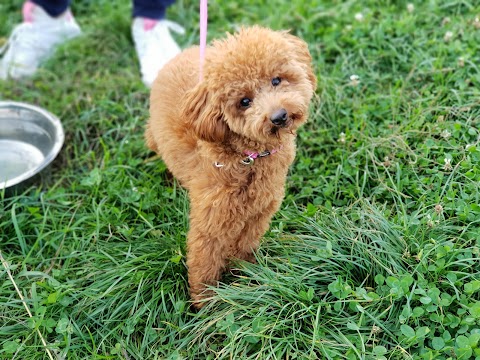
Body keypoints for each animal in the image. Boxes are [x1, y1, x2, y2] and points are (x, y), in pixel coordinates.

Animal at [148, 26, 316, 306]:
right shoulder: (210, 221)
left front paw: (244, 274)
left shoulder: (259, 213)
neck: (249, 157)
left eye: (276, 80)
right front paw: (206, 304)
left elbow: (245, 245)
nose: (279, 116)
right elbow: (204, 262)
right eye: (244, 102)